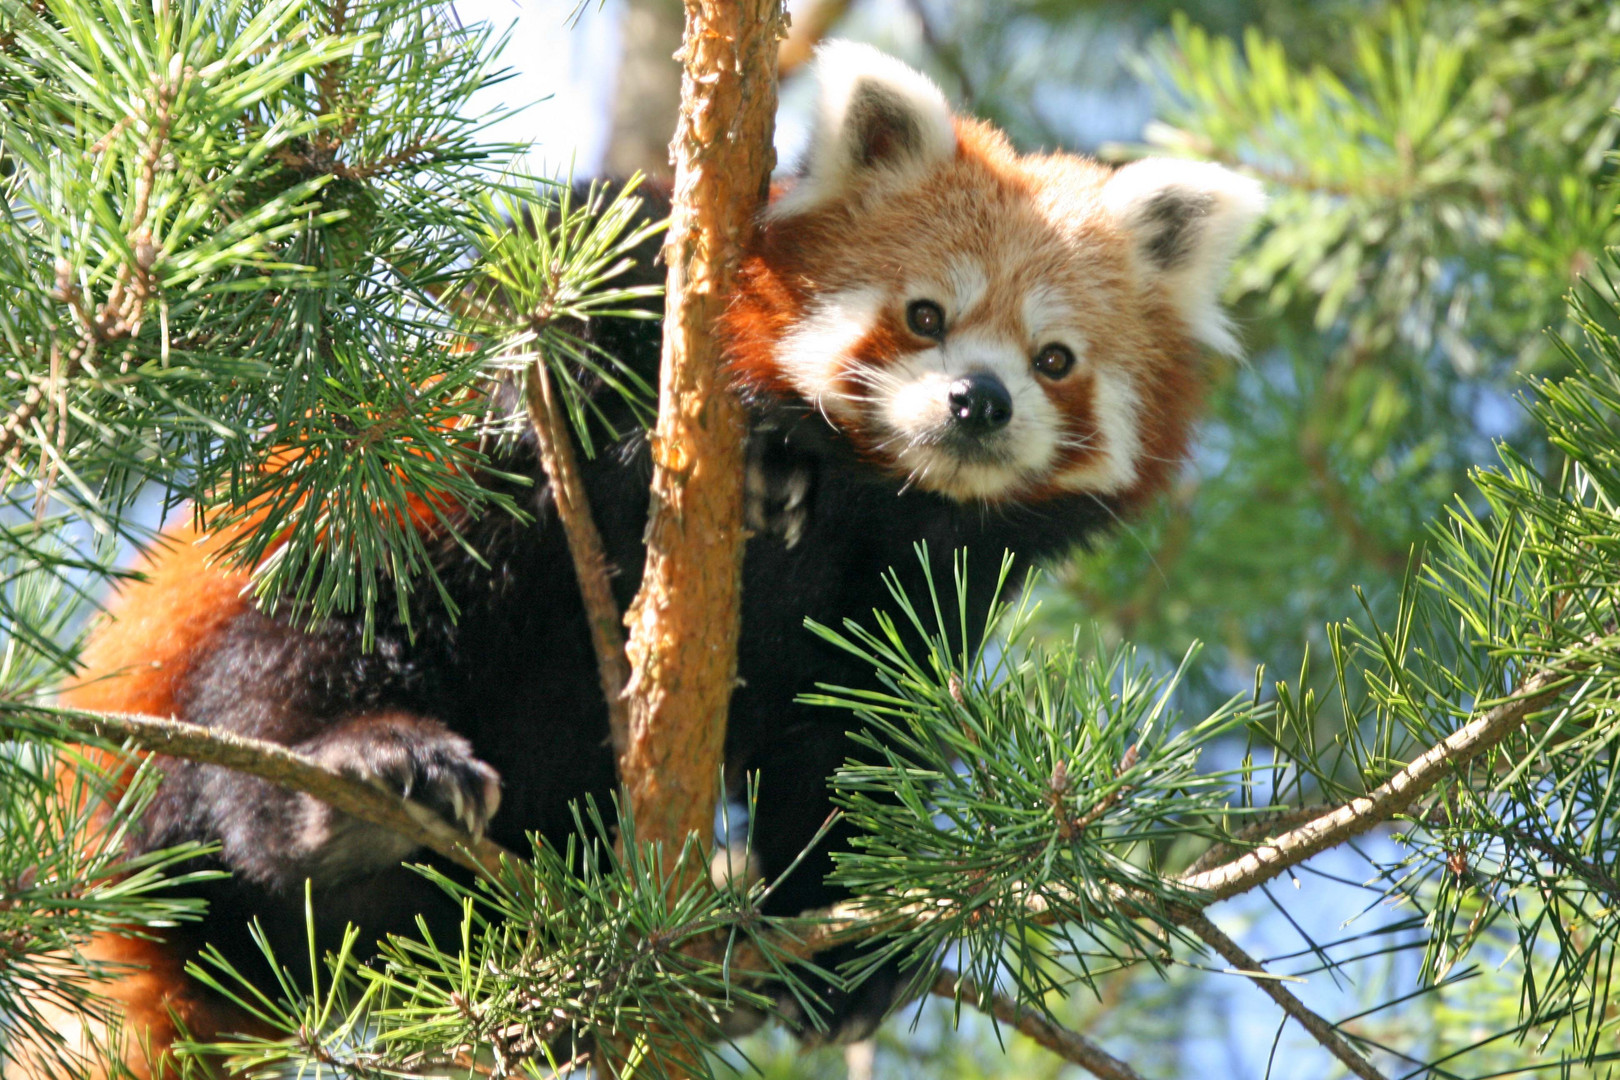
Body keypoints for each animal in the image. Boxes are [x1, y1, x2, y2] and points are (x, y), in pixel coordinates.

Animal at [28, 40, 1263, 1080]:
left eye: (1055, 358)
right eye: (925, 315)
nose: (979, 400)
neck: (867, 495)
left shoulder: (908, 594)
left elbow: (842, 735)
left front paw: (835, 945)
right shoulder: (659, 264)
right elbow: (555, 289)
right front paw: (643, 413)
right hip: (258, 638)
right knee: (301, 663)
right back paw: (360, 785)